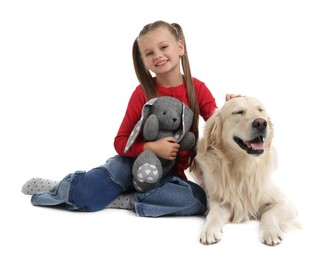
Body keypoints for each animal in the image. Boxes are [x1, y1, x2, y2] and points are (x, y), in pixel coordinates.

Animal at [192, 96, 298, 246]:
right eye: (238, 112)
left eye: (261, 110)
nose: (261, 123)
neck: (244, 166)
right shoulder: (218, 201)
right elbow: (214, 214)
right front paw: (209, 230)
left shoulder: (285, 202)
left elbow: (268, 214)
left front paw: (271, 232)